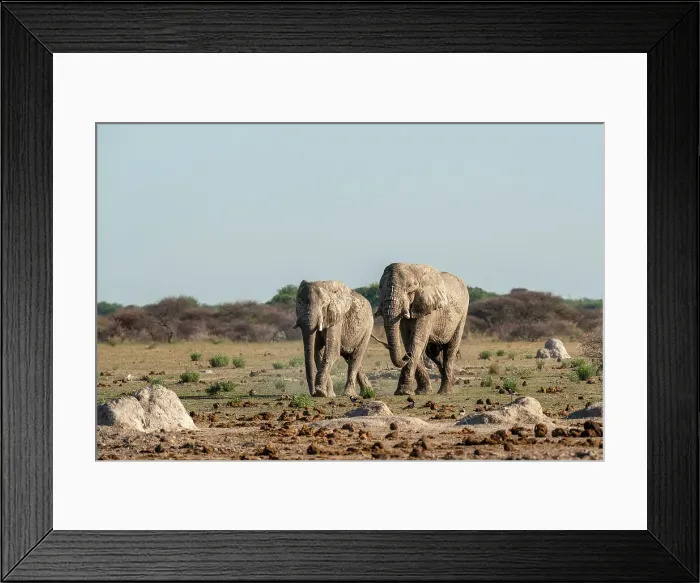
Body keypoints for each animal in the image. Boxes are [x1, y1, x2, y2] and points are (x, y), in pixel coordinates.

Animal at [375, 263, 469, 395]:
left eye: (410, 290)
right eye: (380, 288)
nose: (406, 355)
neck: (413, 269)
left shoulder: (428, 308)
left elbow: (417, 340)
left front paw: (403, 392)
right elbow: (408, 340)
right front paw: (422, 391)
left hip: (462, 315)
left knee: (450, 350)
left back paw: (445, 391)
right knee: (433, 352)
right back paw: (451, 380)